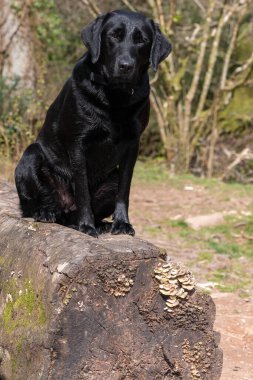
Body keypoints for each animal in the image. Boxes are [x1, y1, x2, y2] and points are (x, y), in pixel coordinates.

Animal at [14, 10, 171, 236]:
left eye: (142, 40)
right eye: (114, 35)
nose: (126, 66)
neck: (115, 97)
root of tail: (66, 211)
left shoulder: (133, 144)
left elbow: (124, 190)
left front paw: (122, 223)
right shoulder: (78, 143)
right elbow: (82, 191)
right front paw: (86, 226)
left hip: (110, 179)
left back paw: (100, 223)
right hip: (31, 156)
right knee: (37, 202)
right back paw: (46, 212)